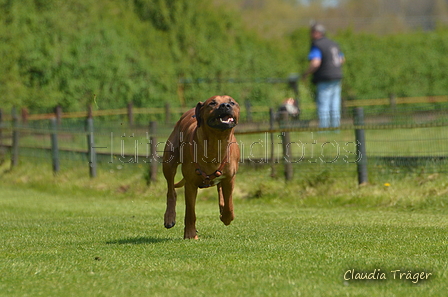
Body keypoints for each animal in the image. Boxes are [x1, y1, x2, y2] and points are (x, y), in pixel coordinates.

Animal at [163, 95, 240, 238]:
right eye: (212, 103)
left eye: (232, 102)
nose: (225, 105)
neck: (217, 141)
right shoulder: (191, 184)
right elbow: (190, 212)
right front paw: (190, 234)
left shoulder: (229, 178)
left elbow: (229, 204)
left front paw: (226, 217)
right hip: (168, 162)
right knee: (171, 190)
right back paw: (169, 217)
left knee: (221, 191)